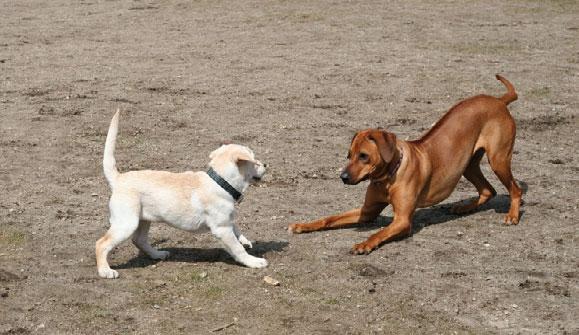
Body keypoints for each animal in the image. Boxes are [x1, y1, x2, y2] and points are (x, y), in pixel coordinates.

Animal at [95, 111, 268, 280]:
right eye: (255, 160)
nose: (266, 165)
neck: (221, 183)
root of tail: (118, 179)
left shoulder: (227, 221)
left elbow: (237, 231)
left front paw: (246, 241)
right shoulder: (222, 229)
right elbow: (237, 249)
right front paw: (253, 261)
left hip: (143, 220)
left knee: (139, 240)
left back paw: (157, 254)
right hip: (126, 223)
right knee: (101, 244)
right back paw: (105, 271)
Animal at [288, 75, 524, 255]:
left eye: (364, 156)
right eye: (349, 155)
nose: (343, 177)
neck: (387, 178)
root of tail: (499, 101)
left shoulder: (402, 220)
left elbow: (379, 232)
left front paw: (364, 244)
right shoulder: (367, 211)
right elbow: (330, 218)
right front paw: (303, 225)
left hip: (498, 159)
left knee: (515, 189)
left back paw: (512, 215)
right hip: (468, 165)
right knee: (488, 190)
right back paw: (464, 207)